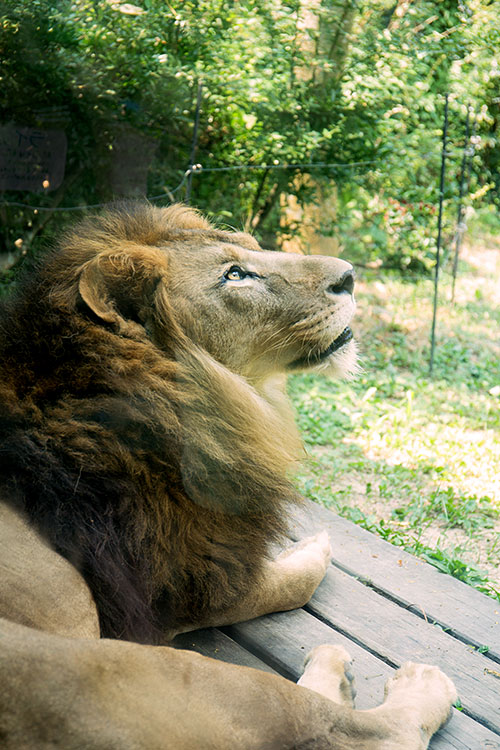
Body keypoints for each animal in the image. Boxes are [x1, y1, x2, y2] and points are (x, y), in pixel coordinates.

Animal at [0, 203, 458, 748]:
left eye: (252, 250)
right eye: (234, 275)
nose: (349, 275)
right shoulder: (180, 590)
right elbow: (287, 584)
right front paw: (310, 551)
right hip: (142, 673)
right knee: (365, 730)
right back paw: (415, 682)